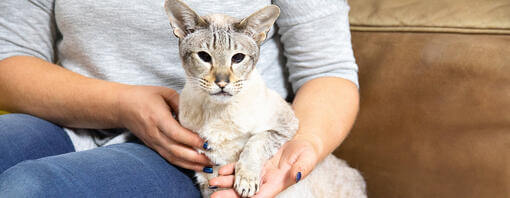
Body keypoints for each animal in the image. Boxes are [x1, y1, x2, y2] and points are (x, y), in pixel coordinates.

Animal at [163, 0, 366, 197]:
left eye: (238, 58)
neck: (217, 112)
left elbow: (254, 143)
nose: (222, 83)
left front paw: (246, 181)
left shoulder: (285, 126)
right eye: (204, 57)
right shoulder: (207, 181)